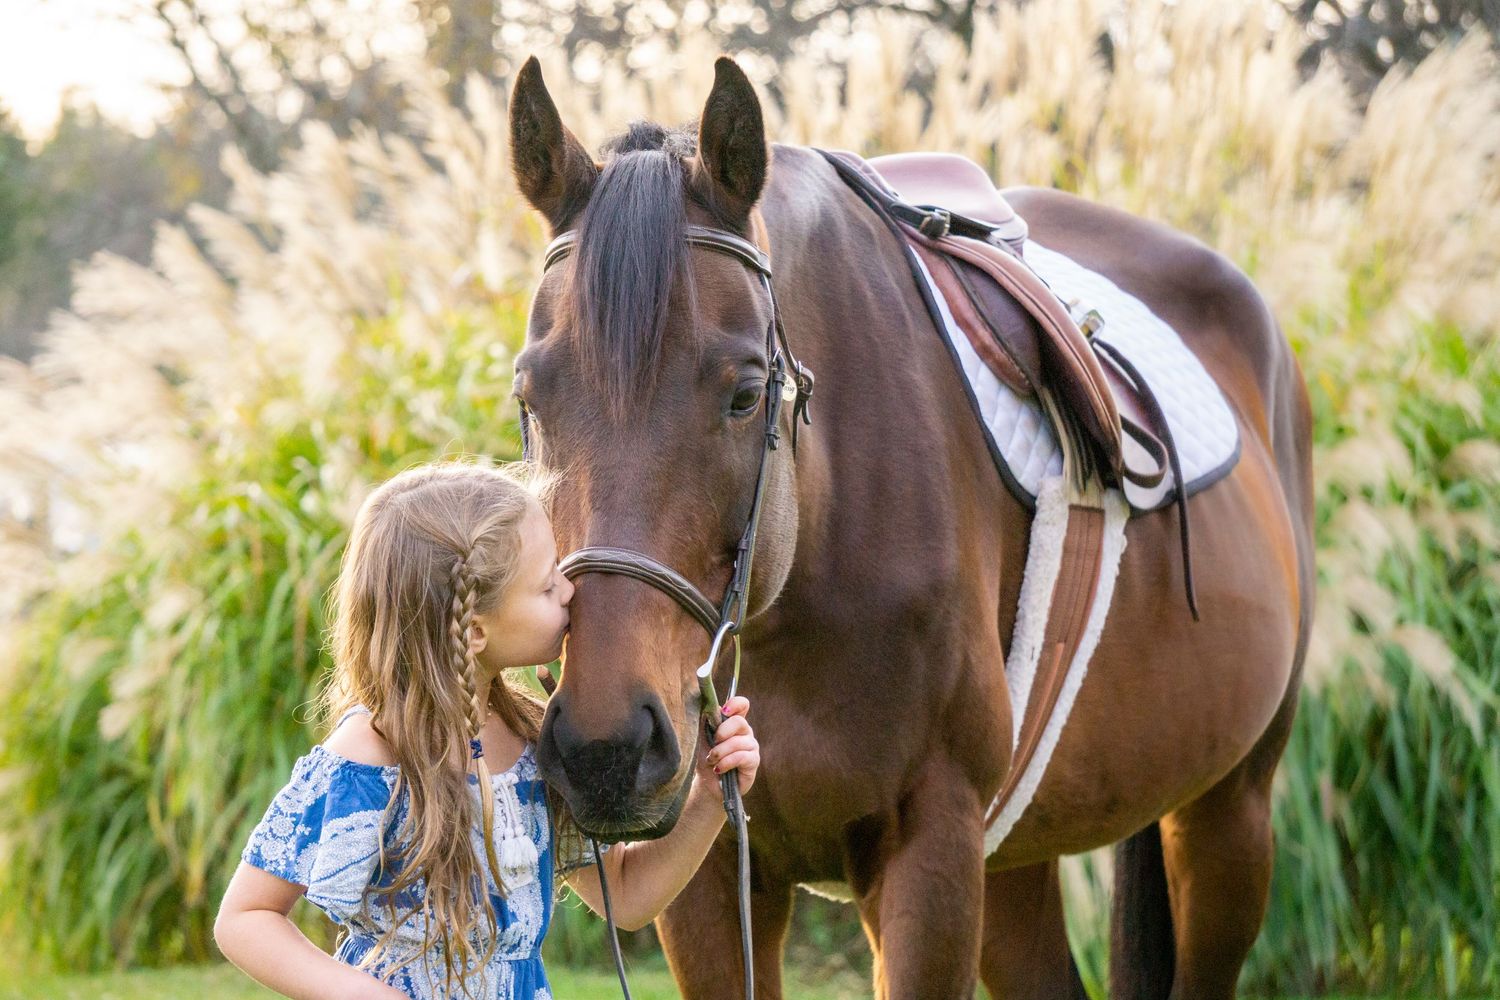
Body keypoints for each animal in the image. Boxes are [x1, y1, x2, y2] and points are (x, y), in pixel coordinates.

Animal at [507, 54, 1315, 1000]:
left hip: (1228, 814)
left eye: (745, 394)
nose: (606, 749)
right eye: (531, 398)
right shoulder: (706, 880)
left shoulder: (929, 850)